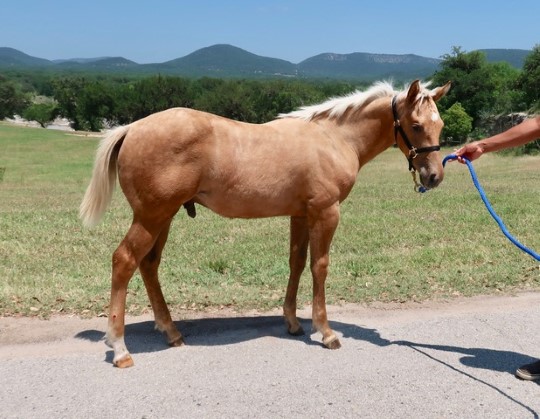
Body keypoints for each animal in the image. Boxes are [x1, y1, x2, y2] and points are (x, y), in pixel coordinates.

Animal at [81, 79, 452, 368]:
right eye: (416, 125)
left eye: (441, 125)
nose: (434, 176)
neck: (334, 138)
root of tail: (131, 128)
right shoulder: (326, 212)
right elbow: (319, 266)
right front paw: (325, 331)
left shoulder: (301, 214)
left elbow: (296, 263)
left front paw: (292, 322)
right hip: (152, 216)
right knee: (124, 261)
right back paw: (120, 348)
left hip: (163, 217)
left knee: (149, 264)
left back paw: (170, 331)